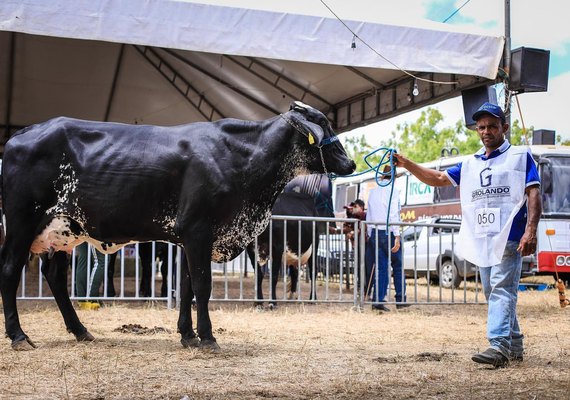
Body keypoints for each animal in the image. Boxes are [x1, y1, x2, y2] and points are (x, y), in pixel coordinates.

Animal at [245, 173, 332, 308]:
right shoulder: (251, 248)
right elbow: (258, 275)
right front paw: (258, 303)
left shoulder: (277, 246)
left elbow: (274, 275)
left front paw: (272, 303)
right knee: (294, 271)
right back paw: (291, 297)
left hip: (315, 244)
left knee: (313, 271)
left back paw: (312, 299)